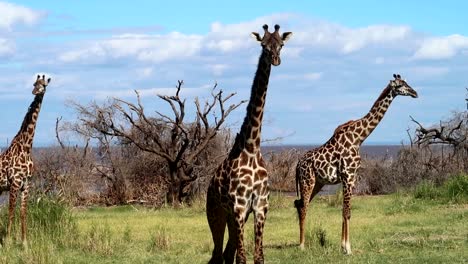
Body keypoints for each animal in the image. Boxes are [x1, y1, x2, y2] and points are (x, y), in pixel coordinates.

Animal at [0, 73, 51, 245]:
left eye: (44, 85)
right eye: (34, 83)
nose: (35, 91)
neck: (26, 147)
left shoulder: (26, 185)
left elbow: (23, 213)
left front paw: (24, 243)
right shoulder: (14, 183)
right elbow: (10, 212)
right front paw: (8, 241)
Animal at [206, 24, 292, 264]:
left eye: (281, 44)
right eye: (263, 45)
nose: (275, 60)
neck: (252, 147)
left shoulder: (260, 206)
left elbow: (257, 256)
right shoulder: (239, 205)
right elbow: (243, 258)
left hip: (232, 218)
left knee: (226, 253)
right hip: (216, 214)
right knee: (218, 254)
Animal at [294, 73, 418, 254]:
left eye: (407, 82)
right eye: (401, 85)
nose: (415, 93)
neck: (359, 138)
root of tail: (297, 165)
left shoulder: (352, 177)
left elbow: (345, 211)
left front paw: (343, 246)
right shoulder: (347, 176)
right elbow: (347, 212)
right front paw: (348, 248)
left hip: (318, 182)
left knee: (300, 204)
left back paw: (301, 242)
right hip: (307, 181)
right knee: (303, 206)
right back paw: (302, 245)